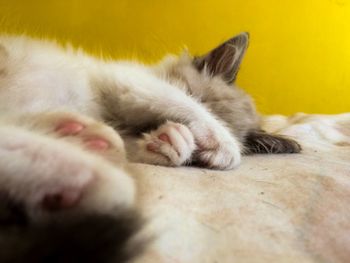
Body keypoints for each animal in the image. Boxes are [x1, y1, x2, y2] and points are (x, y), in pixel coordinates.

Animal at [0, 32, 300, 262]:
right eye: (195, 96)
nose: (158, 126)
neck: (114, 118)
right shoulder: (130, 82)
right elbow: (177, 100)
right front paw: (222, 143)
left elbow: (133, 145)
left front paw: (171, 141)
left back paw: (80, 143)